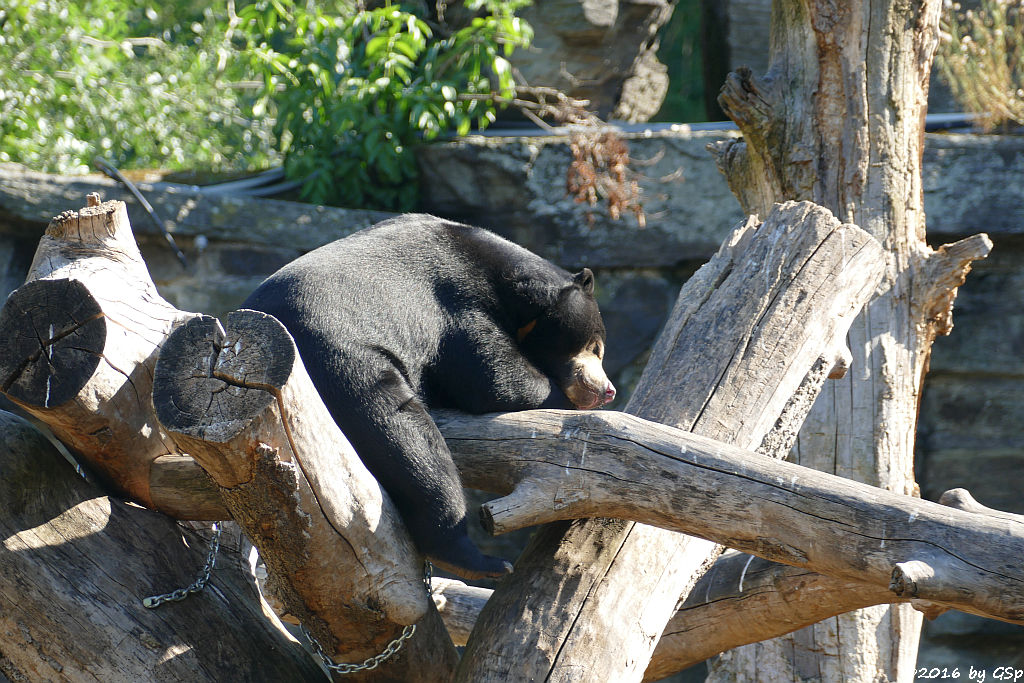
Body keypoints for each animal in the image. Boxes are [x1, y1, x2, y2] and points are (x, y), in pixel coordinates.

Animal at [245, 214, 614, 577]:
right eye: (595, 347)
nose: (606, 390)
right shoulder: (454, 305)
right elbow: (492, 376)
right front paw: (563, 399)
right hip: (344, 366)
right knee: (410, 444)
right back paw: (481, 561)